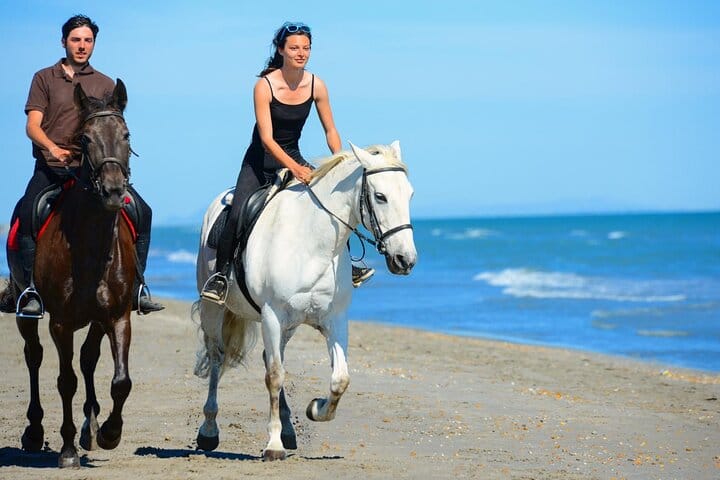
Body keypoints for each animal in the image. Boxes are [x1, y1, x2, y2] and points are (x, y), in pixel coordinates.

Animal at [12, 80, 137, 468]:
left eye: (126, 135)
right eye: (85, 139)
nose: (113, 191)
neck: (90, 245)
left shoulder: (118, 316)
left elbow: (120, 381)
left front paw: (109, 432)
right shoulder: (61, 323)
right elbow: (65, 380)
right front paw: (67, 450)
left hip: (96, 320)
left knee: (87, 359)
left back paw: (90, 426)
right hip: (27, 312)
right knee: (34, 356)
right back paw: (34, 431)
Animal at [193, 141, 417, 461]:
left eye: (409, 194)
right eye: (380, 196)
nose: (405, 260)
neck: (314, 244)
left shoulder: (334, 320)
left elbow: (340, 379)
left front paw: (315, 409)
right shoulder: (272, 315)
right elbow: (275, 376)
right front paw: (273, 445)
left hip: (290, 325)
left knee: (269, 356)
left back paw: (288, 430)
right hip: (215, 310)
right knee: (217, 357)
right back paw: (209, 431)